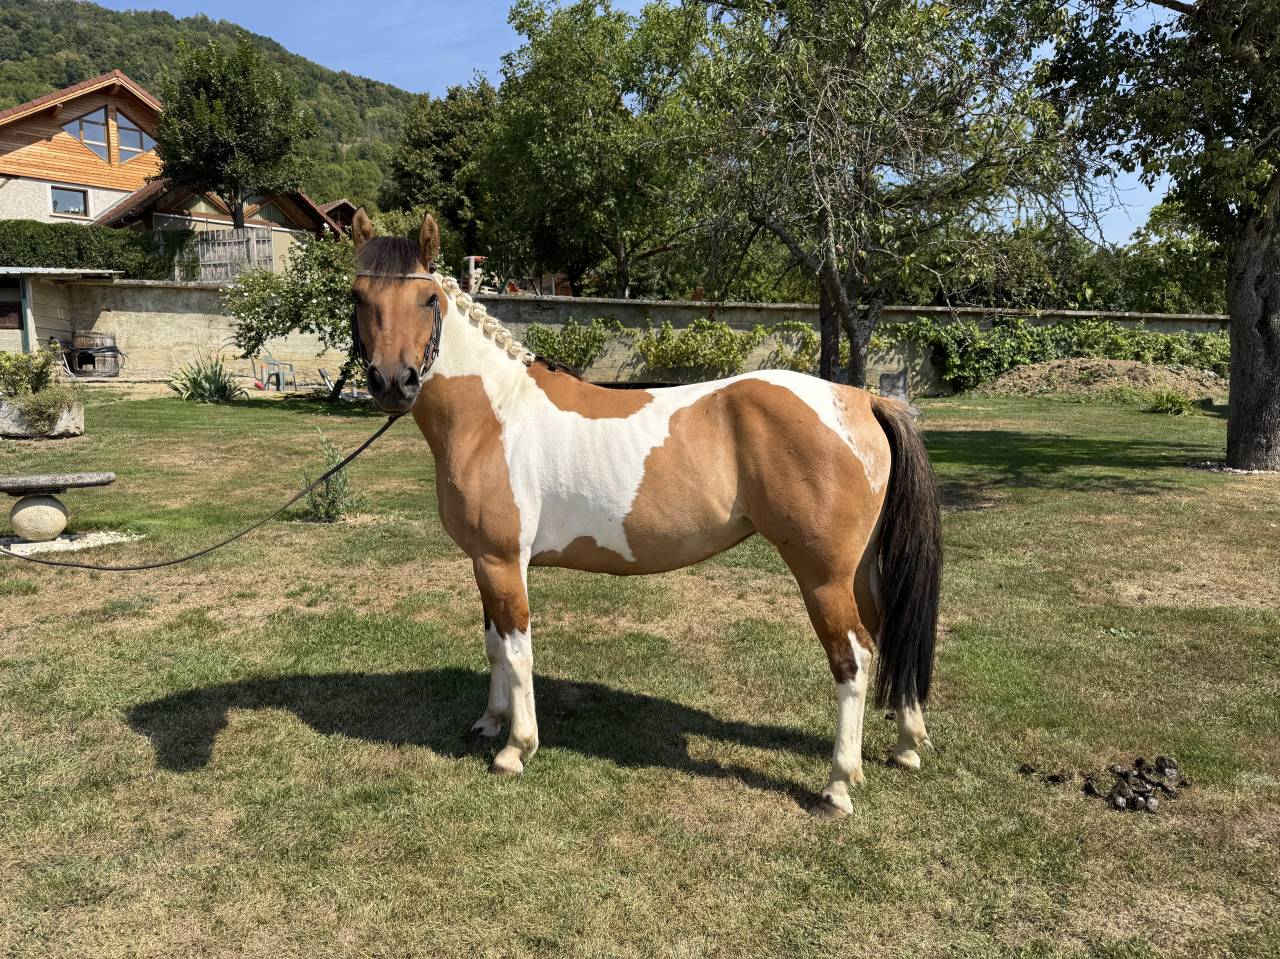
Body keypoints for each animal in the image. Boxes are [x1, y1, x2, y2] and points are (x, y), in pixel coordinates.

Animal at [349, 210, 942, 817]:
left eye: (427, 299)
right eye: (357, 295)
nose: (393, 382)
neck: (493, 412)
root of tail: (862, 399)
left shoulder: (501, 561)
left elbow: (516, 653)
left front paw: (516, 748)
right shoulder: (485, 563)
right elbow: (494, 645)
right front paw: (490, 722)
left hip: (823, 578)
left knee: (855, 659)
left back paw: (839, 784)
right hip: (860, 571)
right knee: (890, 632)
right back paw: (906, 745)